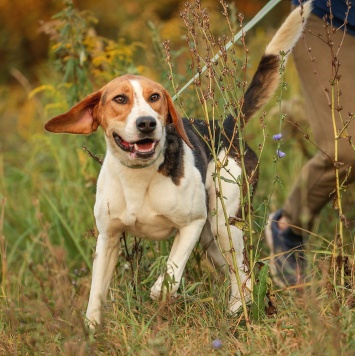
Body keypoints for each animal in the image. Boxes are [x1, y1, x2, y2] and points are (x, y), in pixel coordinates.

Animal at [44, 2, 312, 328]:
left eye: (155, 97)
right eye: (119, 99)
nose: (147, 123)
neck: (139, 176)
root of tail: (227, 124)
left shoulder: (192, 223)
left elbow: (171, 270)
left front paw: (161, 290)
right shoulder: (108, 238)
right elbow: (96, 291)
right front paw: (93, 328)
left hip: (222, 223)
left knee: (243, 273)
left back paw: (238, 309)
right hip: (212, 240)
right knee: (236, 272)